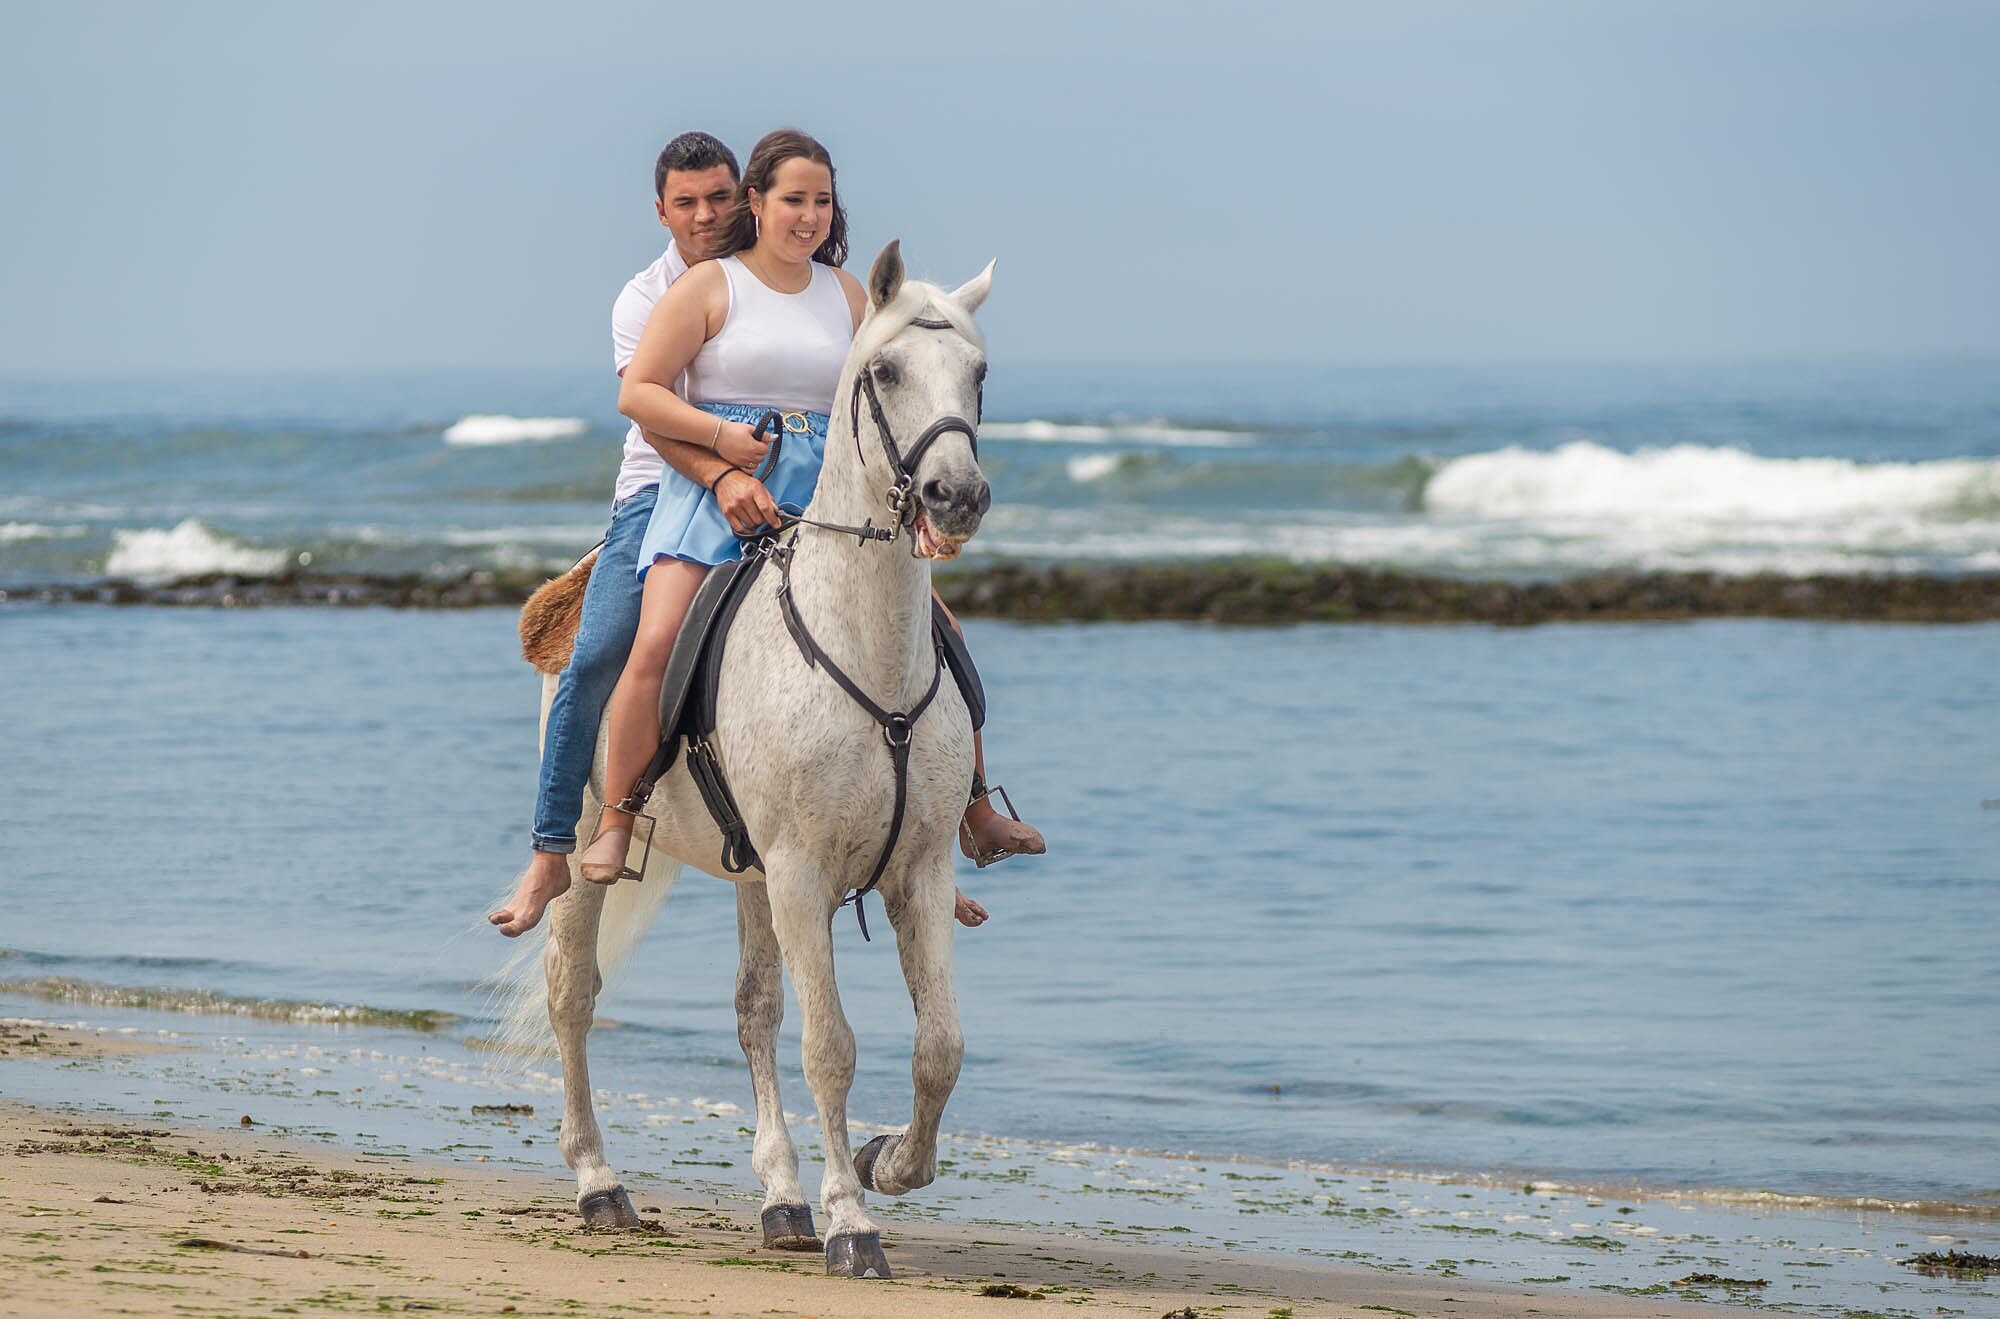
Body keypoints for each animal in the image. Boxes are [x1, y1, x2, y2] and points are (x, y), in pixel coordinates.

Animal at [492, 241, 995, 1280]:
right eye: (887, 371)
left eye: (978, 373)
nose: (956, 496)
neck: (864, 647)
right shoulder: (803, 873)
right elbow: (832, 1045)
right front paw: (853, 1222)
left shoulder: (917, 871)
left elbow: (939, 1046)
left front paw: (887, 1164)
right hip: (598, 856)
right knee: (572, 994)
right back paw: (599, 1183)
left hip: (751, 872)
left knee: (753, 1008)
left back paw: (781, 1200)